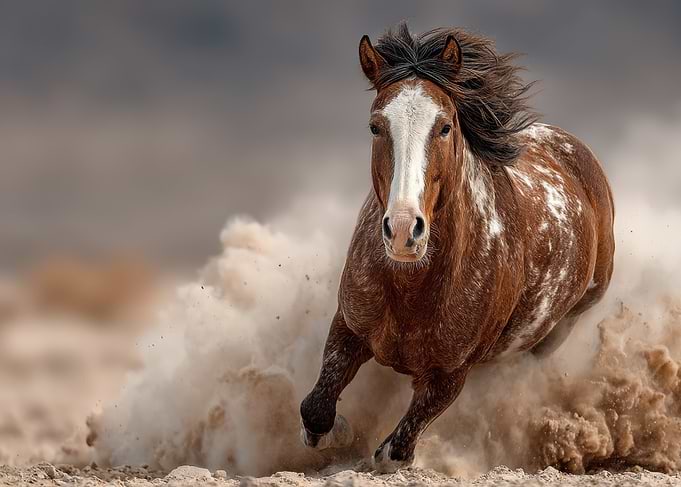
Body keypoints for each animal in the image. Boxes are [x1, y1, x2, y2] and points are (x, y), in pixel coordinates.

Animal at [300, 23, 615, 473]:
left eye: (445, 126)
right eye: (376, 126)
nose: (403, 230)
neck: (412, 289)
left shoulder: (451, 373)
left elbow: (396, 449)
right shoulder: (348, 327)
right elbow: (317, 408)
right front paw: (338, 432)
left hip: (560, 328)